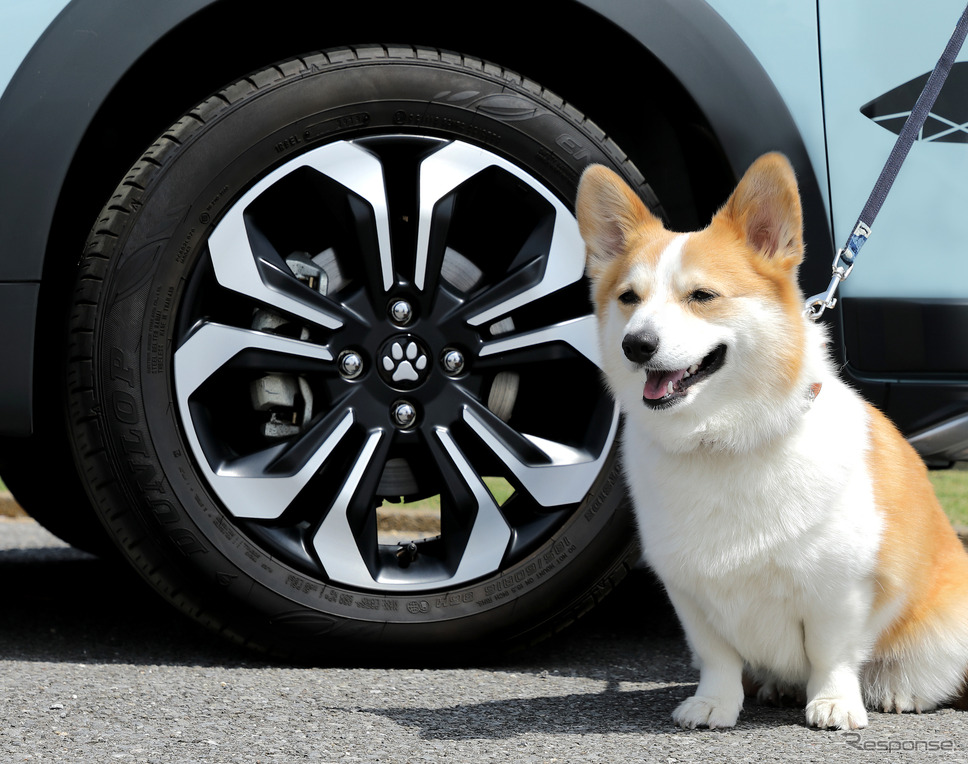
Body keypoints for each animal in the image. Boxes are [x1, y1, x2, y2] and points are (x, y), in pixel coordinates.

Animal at [576, 154, 968, 728]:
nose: (636, 345)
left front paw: (832, 703)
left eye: (702, 296)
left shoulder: (840, 587)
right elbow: (717, 657)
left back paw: (899, 690)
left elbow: (832, 655)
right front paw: (714, 704)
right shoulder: (689, 591)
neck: (722, 440)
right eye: (628, 298)